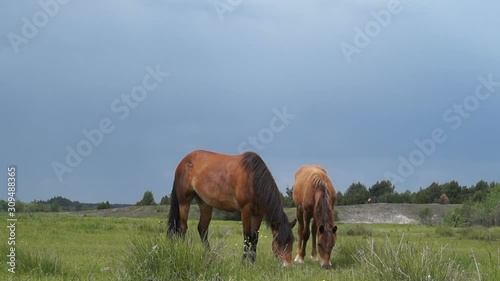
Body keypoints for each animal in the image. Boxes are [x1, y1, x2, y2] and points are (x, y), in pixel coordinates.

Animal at [167, 149, 296, 264]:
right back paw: (185, 251)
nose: (287, 265)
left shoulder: (259, 213)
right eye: (279, 242)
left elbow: (255, 238)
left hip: (205, 203)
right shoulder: (245, 210)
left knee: (202, 229)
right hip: (184, 201)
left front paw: (252, 262)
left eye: (292, 241)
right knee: (182, 227)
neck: (252, 179)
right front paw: (244, 263)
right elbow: (247, 237)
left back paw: (210, 256)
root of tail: (183, 162)